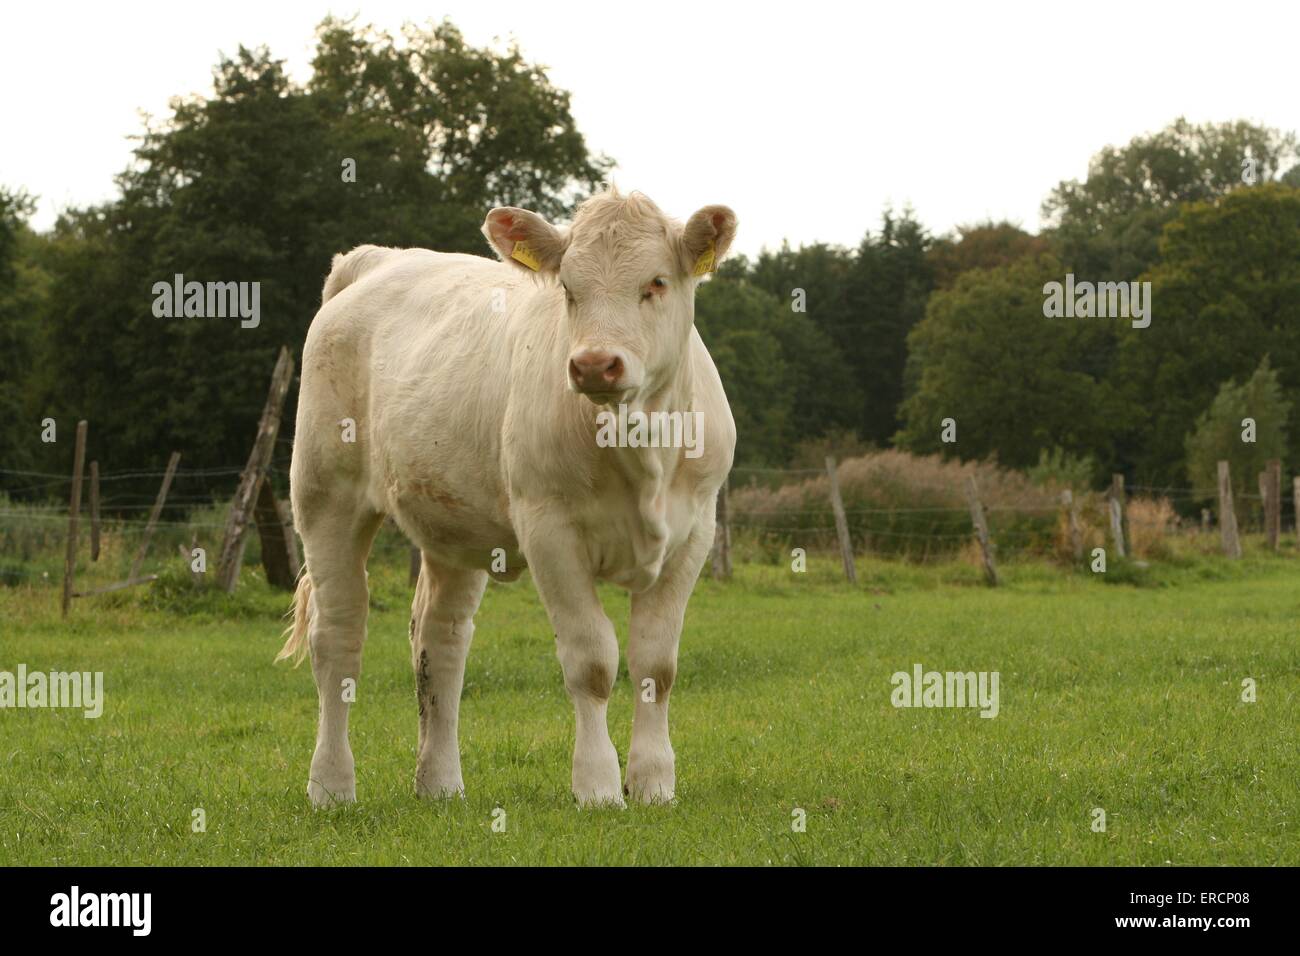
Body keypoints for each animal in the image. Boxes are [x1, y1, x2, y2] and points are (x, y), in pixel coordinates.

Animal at [275, 187, 738, 806]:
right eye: (568, 288)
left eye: (657, 282)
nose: (594, 364)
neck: (637, 445)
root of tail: (379, 258)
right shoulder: (549, 529)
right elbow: (592, 661)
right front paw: (598, 786)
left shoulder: (695, 532)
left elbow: (656, 666)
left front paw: (654, 783)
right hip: (325, 496)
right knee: (338, 637)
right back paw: (331, 786)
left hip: (451, 522)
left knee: (440, 641)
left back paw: (440, 784)